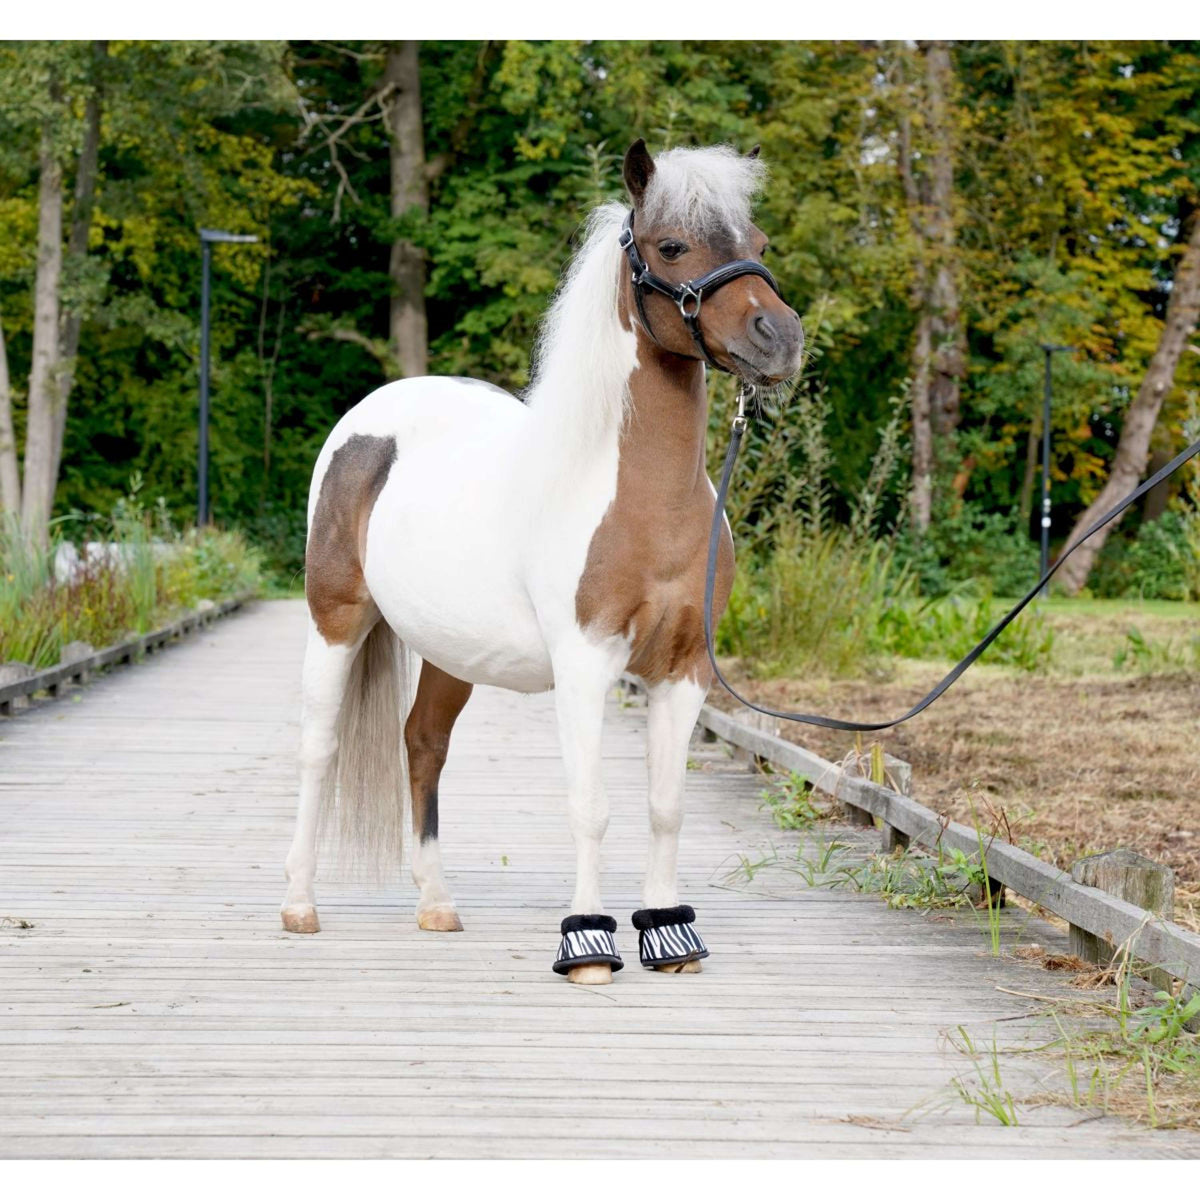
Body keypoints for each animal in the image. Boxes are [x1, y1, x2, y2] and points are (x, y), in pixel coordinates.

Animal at [283, 140, 806, 984]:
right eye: (671, 246)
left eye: (757, 242)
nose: (779, 338)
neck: (639, 498)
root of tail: (371, 418)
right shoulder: (585, 664)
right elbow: (591, 807)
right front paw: (587, 945)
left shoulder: (686, 669)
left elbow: (666, 806)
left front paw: (671, 938)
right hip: (336, 620)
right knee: (319, 747)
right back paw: (300, 904)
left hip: (450, 653)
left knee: (422, 745)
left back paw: (437, 904)